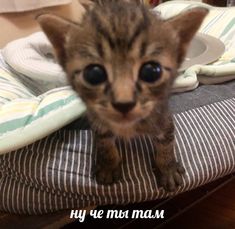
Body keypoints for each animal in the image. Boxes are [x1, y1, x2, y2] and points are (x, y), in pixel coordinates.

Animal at [37, 0, 208, 191]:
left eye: (151, 72)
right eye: (93, 74)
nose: (123, 103)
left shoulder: (162, 116)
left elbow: (166, 141)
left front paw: (168, 168)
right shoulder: (98, 120)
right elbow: (105, 142)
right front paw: (108, 166)